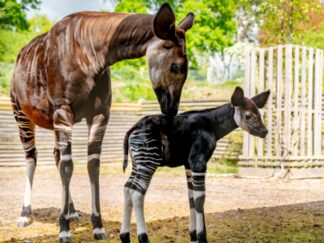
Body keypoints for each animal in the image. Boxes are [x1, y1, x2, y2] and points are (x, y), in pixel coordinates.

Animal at [120, 88, 270, 243]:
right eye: (248, 116)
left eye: (259, 114)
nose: (264, 132)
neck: (212, 125)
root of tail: (135, 127)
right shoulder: (198, 162)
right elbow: (200, 198)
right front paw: (202, 237)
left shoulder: (188, 165)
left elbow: (191, 197)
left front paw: (193, 235)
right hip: (149, 161)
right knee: (137, 193)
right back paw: (143, 237)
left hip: (137, 163)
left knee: (127, 188)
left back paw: (124, 236)